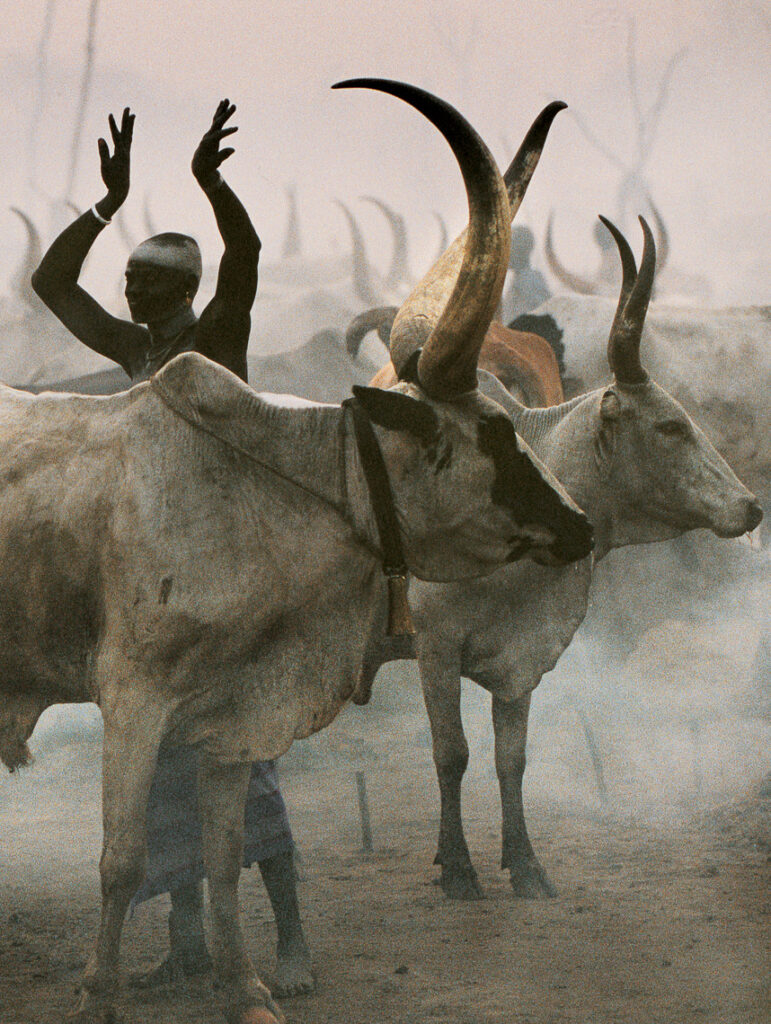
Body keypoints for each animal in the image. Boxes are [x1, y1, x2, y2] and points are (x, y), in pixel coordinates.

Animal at [0, 79, 593, 1024]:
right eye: (494, 436)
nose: (579, 527)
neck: (271, 491)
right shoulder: (132, 700)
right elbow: (122, 862)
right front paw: (97, 997)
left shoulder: (229, 718)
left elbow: (219, 855)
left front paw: (244, 987)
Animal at [393, 216, 761, 897]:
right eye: (670, 426)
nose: (750, 507)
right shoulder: (435, 647)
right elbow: (452, 754)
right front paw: (457, 866)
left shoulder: (522, 656)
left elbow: (511, 760)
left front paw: (525, 863)